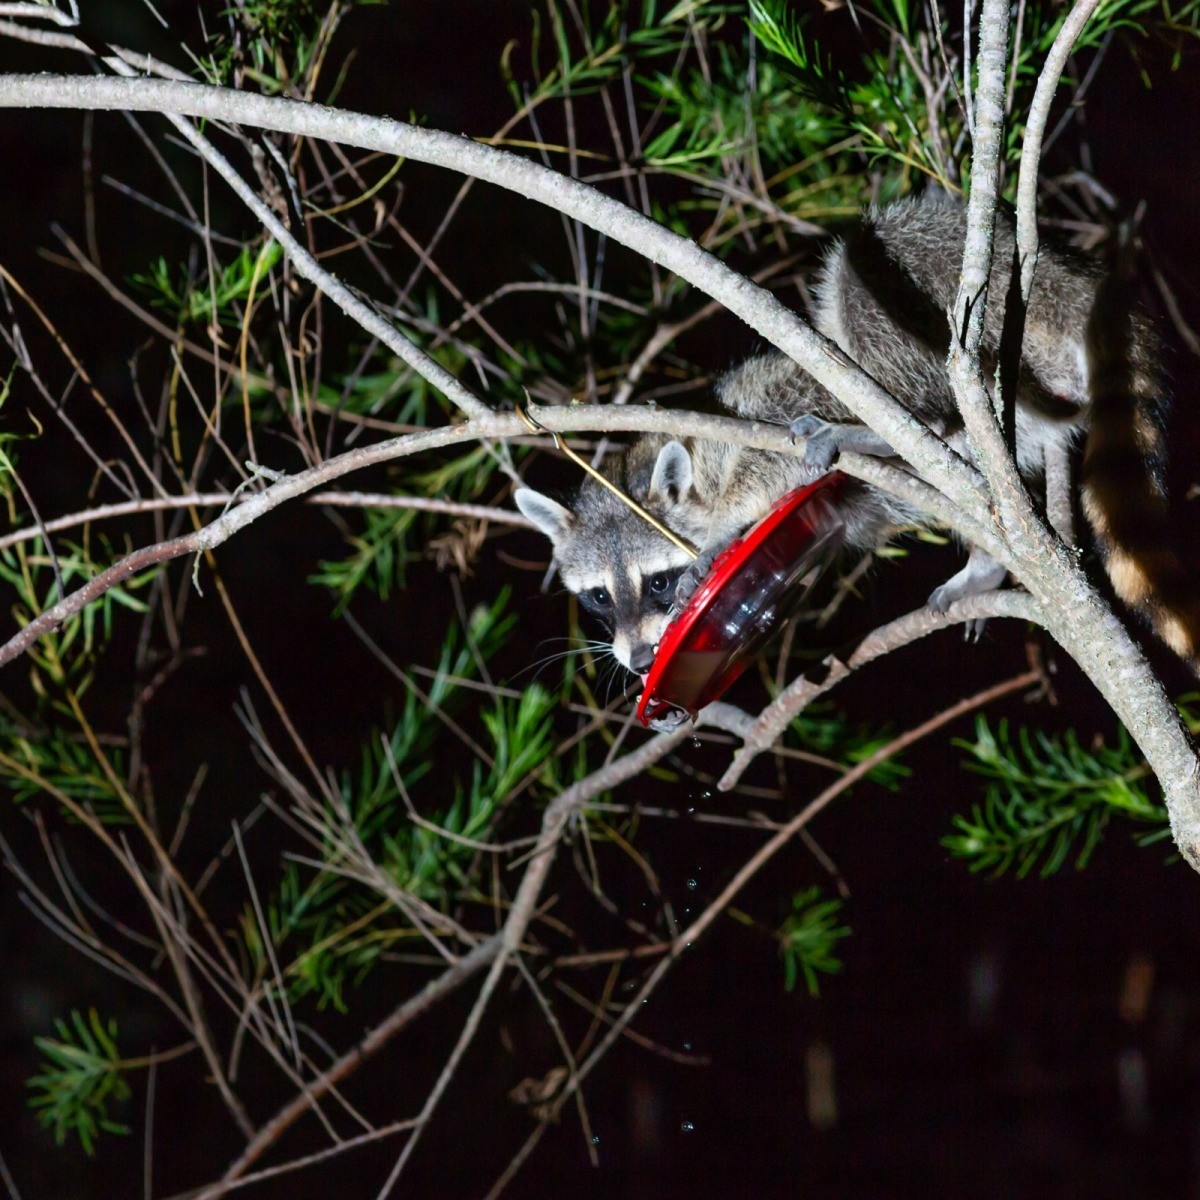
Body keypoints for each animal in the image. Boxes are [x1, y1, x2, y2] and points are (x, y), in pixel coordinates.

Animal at [515, 192, 1200, 679]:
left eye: (656, 583)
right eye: (599, 598)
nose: (636, 662)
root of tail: (1073, 281)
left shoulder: (764, 417)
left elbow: (780, 465)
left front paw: (721, 543)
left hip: (983, 298)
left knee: (864, 277)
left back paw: (889, 428)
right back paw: (984, 559)